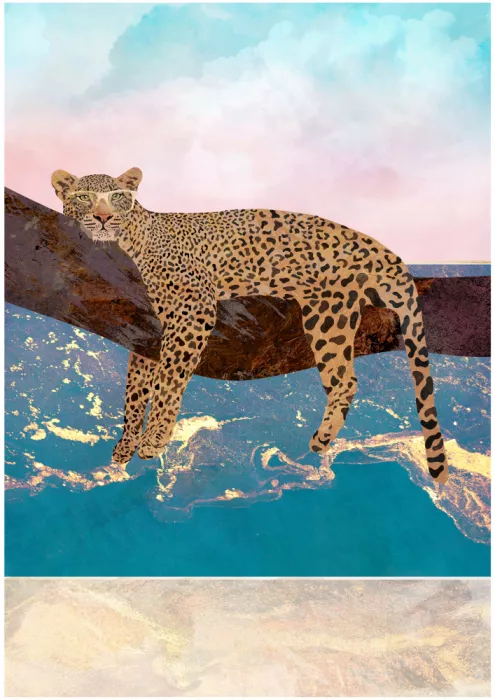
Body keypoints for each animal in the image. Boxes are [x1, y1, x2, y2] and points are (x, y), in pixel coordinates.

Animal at [51, 167, 449, 483]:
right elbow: (135, 393)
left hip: (327, 313)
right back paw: (321, 440)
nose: (103, 217)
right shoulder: (145, 333)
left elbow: (169, 382)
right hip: (329, 315)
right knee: (344, 380)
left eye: (117, 197)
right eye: (84, 196)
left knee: (346, 379)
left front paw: (155, 439)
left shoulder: (193, 312)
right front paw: (126, 445)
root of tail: (379, 247)